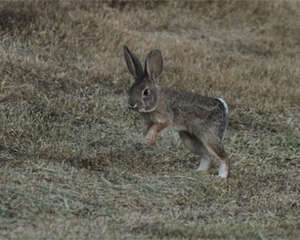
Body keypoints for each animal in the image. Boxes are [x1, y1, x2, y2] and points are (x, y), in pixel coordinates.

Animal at [123, 45, 231, 178]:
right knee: (206, 155)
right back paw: (199, 171)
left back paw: (222, 177)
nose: (131, 104)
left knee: (224, 157)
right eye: (131, 88)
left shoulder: (165, 118)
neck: (158, 99)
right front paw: (148, 142)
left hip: (209, 136)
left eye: (146, 92)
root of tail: (222, 107)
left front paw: (149, 140)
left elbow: (157, 127)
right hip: (189, 139)